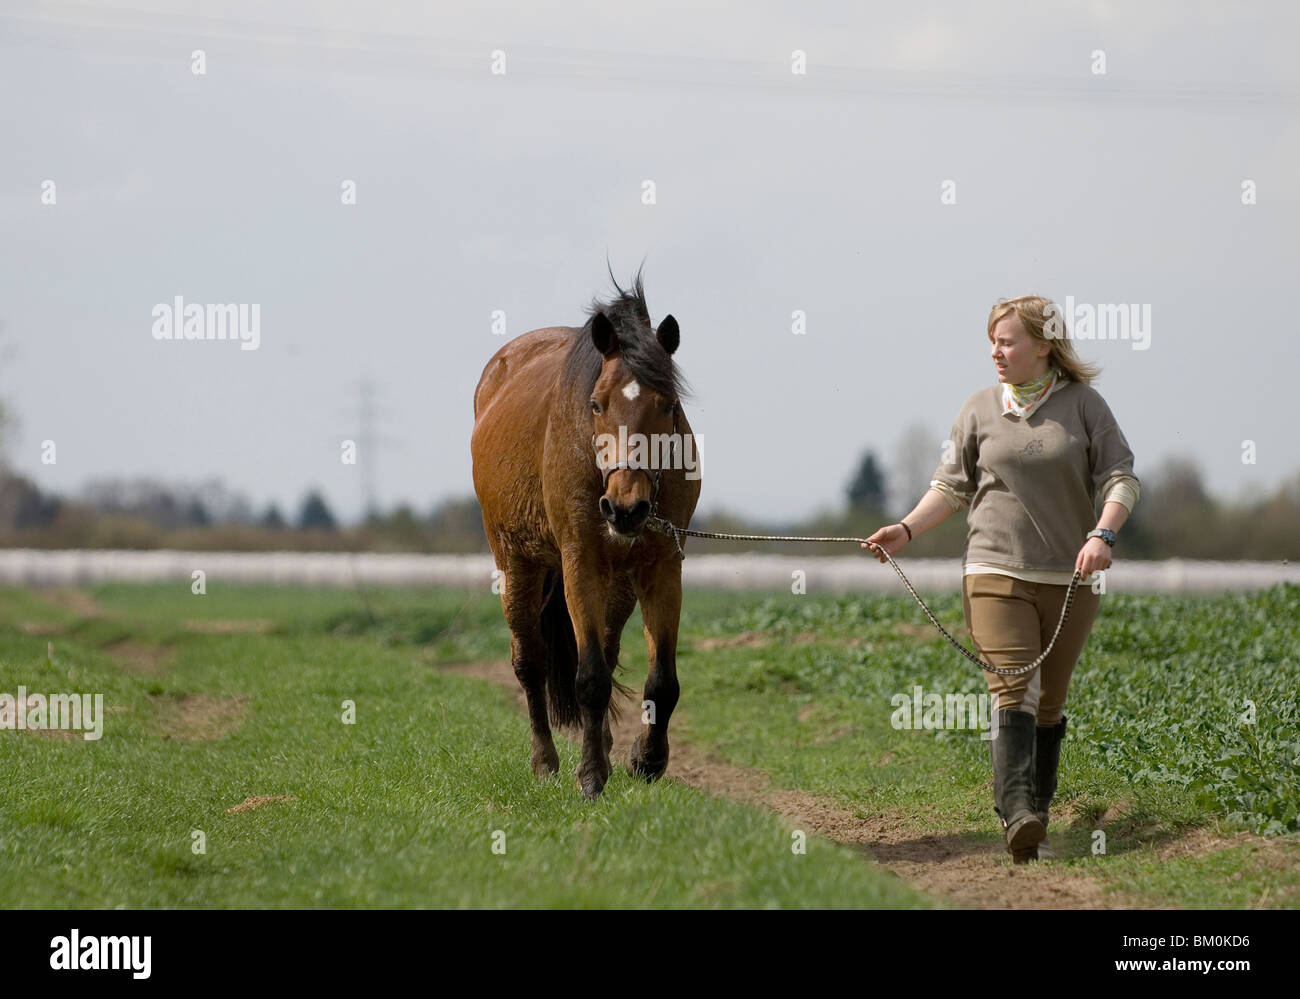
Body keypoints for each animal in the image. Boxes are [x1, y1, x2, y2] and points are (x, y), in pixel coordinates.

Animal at [470, 272, 700, 799]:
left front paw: (646, 759)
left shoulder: (662, 566)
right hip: (516, 564)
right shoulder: (580, 561)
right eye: (596, 404)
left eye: (668, 405)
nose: (625, 508)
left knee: (608, 650)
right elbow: (590, 676)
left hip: (616, 583)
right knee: (529, 660)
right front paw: (591, 775)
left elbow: (662, 681)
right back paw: (546, 761)